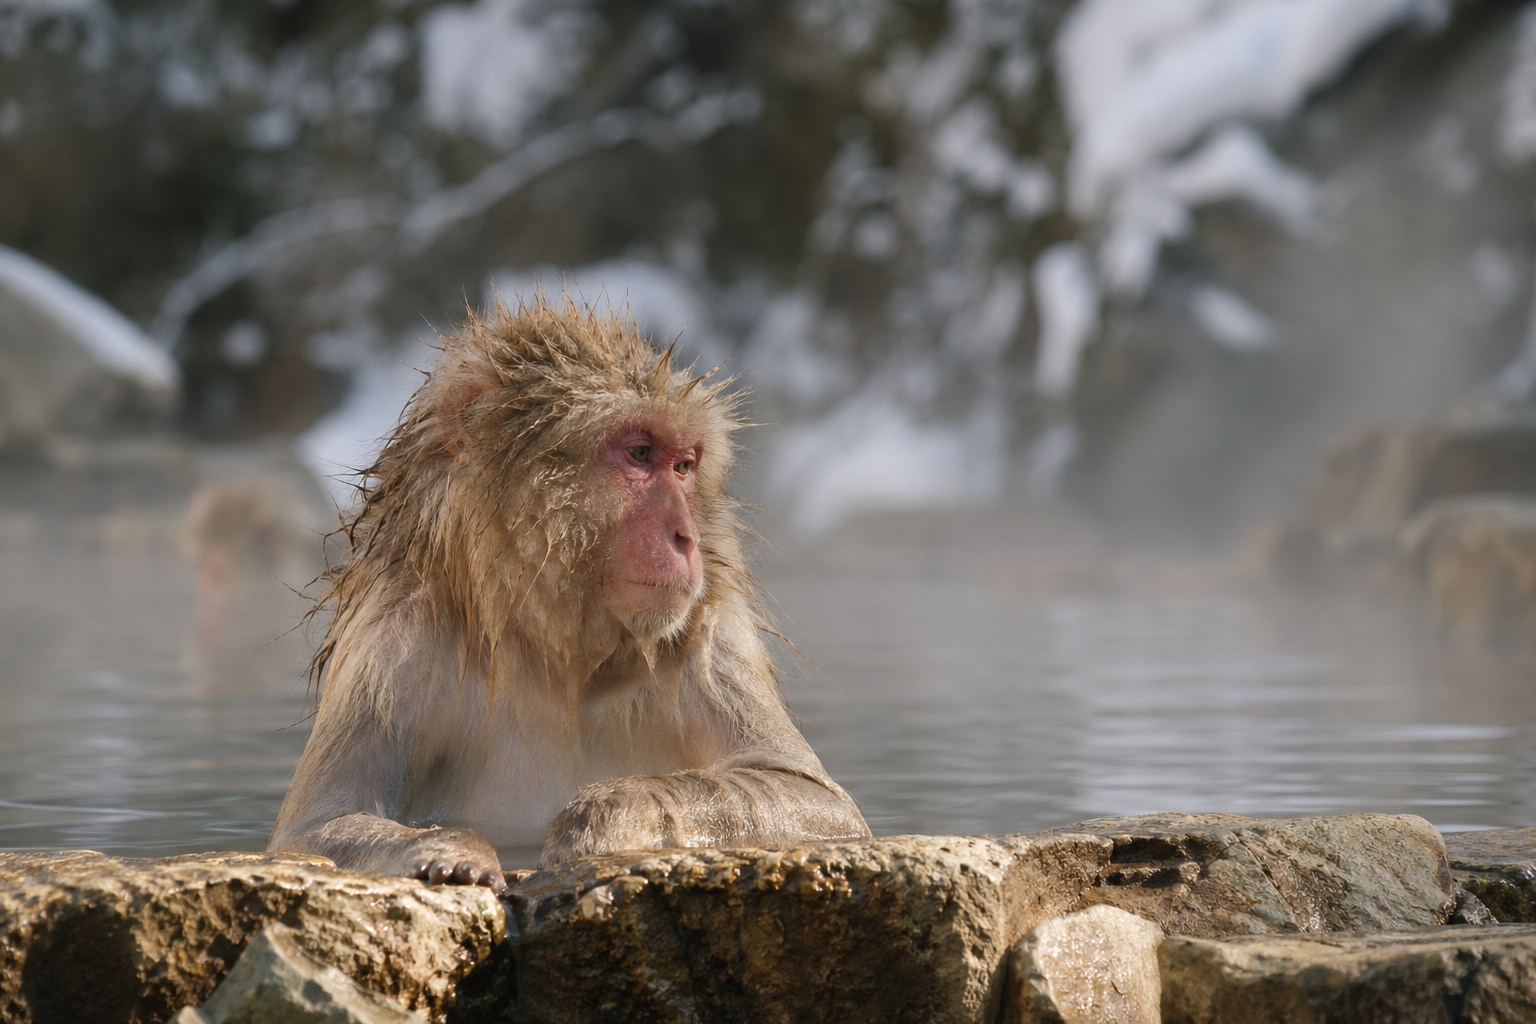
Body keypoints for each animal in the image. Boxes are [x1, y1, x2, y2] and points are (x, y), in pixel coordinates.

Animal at [268, 296, 869, 890]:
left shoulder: (715, 631)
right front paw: (449, 850)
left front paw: (607, 816)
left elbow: (815, 796)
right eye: (640, 453)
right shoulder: (392, 646)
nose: (688, 536)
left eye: (684, 466)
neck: (559, 652)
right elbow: (316, 825)